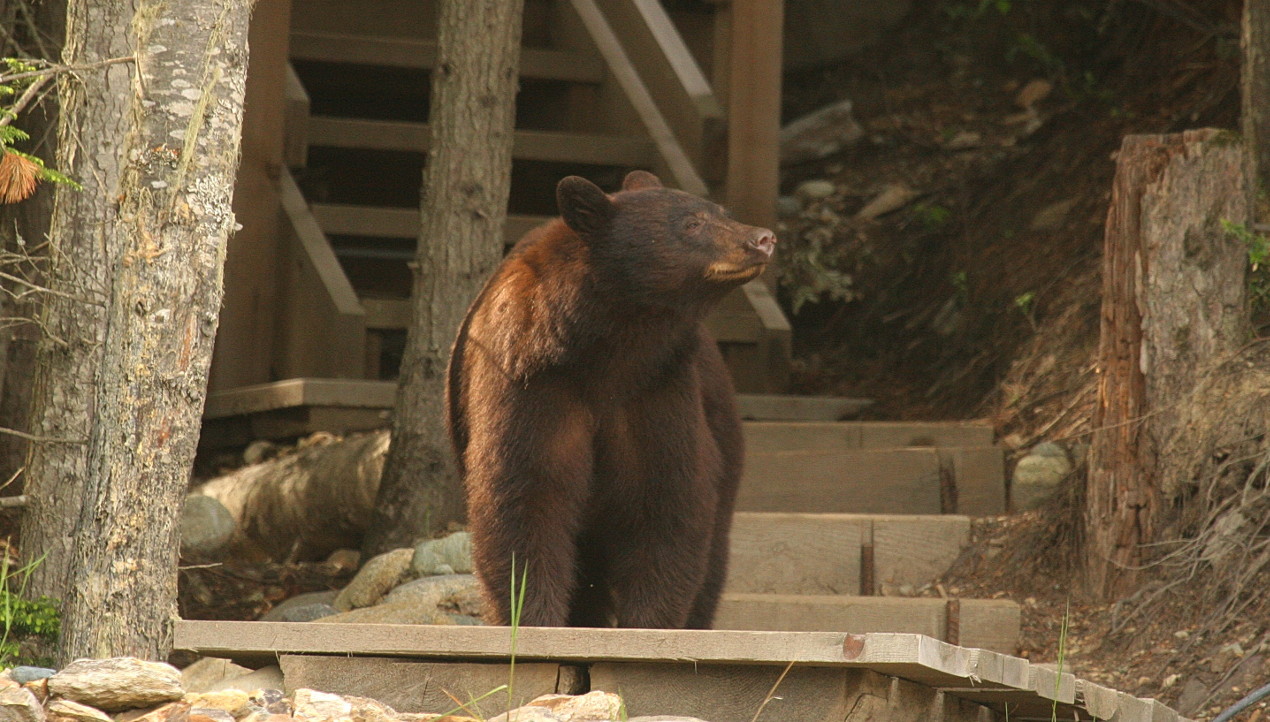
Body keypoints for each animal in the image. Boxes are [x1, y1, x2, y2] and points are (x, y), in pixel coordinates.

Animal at [452, 171, 777, 626]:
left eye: (724, 212)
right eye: (692, 223)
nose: (763, 238)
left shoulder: (658, 386)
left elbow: (668, 495)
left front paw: (648, 623)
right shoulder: (529, 383)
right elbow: (524, 494)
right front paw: (531, 618)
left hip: (724, 434)